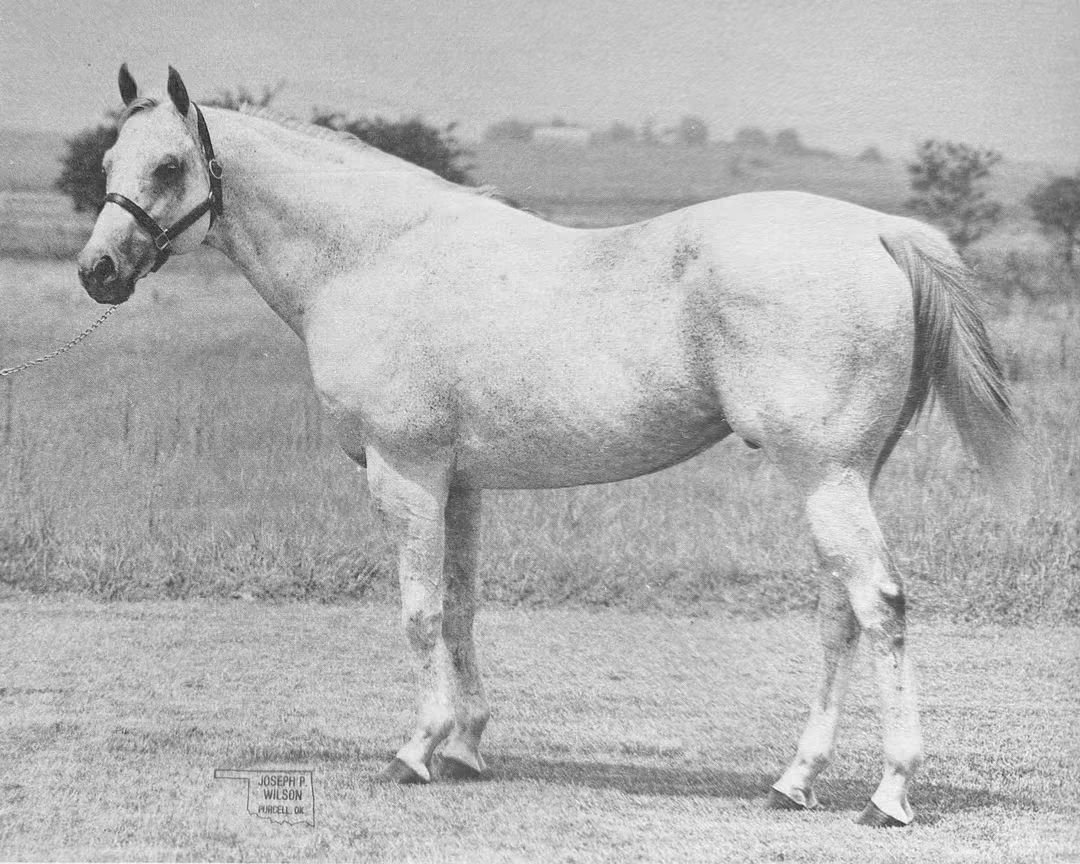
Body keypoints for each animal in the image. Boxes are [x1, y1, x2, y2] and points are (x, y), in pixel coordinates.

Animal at [77, 66, 1017, 828]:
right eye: (107, 164)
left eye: (169, 168)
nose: (98, 272)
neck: (372, 255)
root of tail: (878, 231)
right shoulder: (461, 484)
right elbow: (461, 608)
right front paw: (465, 747)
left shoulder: (406, 474)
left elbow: (419, 613)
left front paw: (416, 751)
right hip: (844, 478)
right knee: (839, 614)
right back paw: (796, 779)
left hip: (825, 476)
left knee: (881, 605)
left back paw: (889, 793)